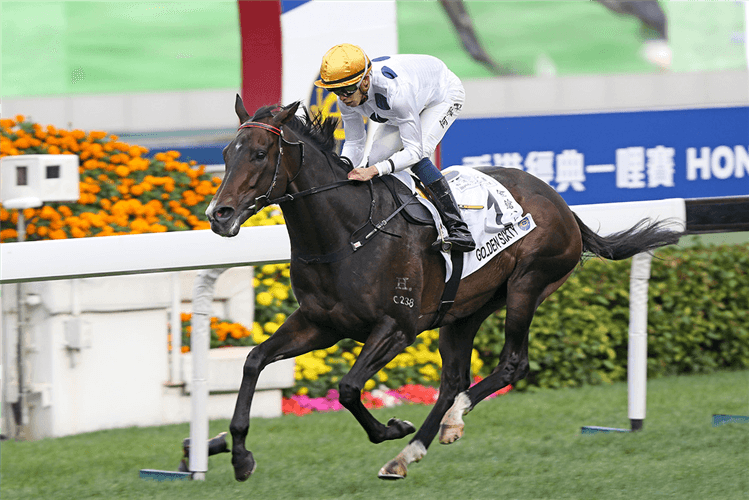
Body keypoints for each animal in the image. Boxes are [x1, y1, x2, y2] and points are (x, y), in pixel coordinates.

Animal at [206, 95, 684, 482]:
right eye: (227, 153)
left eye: (260, 154)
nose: (219, 215)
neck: (347, 233)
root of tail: (561, 203)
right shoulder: (319, 324)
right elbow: (253, 361)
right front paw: (239, 456)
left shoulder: (396, 327)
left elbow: (348, 388)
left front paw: (391, 427)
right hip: (463, 310)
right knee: (454, 379)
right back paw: (408, 454)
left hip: (527, 285)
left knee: (512, 364)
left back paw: (447, 423)